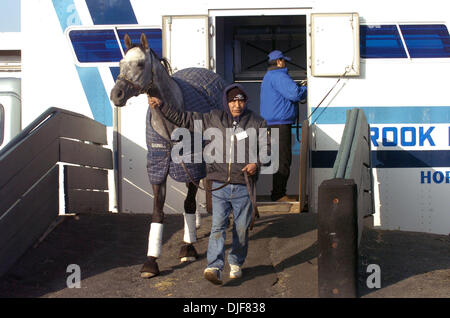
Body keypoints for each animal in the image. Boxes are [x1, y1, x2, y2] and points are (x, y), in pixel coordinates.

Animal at [111, 33, 227, 278]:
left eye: (140, 64)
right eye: (120, 63)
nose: (116, 94)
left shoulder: (192, 162)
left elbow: (189, 204)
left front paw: (188, 248)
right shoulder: (158, 166)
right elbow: (158, 212)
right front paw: (151, 261)